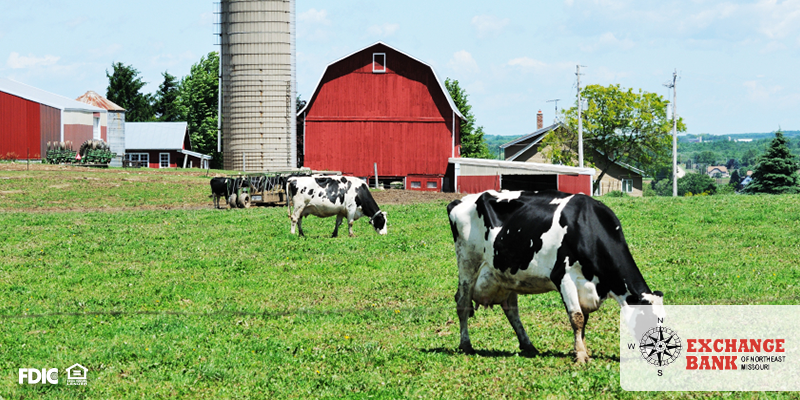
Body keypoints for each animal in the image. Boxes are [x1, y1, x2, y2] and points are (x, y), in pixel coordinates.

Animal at [446, 190, 664, 362]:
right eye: (649, 318)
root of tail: (460, 201)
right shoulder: (564, 276)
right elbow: (576, 317)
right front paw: (581, 356)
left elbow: (583, 320)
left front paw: (583, 350)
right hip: (467, 264)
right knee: (462, 303)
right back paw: (466, 345)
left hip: (506, 274)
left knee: (511, 310)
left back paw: (528, 345)